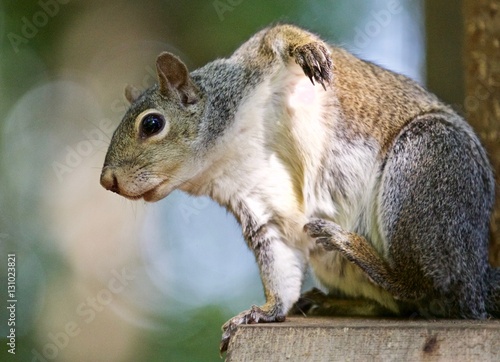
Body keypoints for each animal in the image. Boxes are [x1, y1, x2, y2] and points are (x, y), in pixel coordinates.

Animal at [99, 24, 498, 352]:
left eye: (152, 124)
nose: (107, 181)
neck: (226, 152)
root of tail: (476, 277)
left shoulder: (255, 59)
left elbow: (278, 35)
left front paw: (307, 48)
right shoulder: (257, 203)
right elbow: (279, 265)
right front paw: (264, 311)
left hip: (427, 166)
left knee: (425, 285)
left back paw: (353, 247)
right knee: (403, 304)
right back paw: (336, 301)